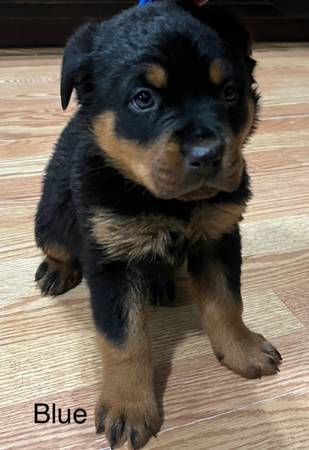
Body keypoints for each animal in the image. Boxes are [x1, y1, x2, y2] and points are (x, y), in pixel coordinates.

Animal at [34, 1, 282, 448]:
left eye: (230, 93)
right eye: (143, 99)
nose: (206, 153)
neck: (168, 203)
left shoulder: (220, 236)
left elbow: (226, 302)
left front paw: (242, 349)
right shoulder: (110, 259)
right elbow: (123, 340)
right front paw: (129, 407)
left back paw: (161, 282)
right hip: (51, 215)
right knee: (58, 244)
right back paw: (58, 270)